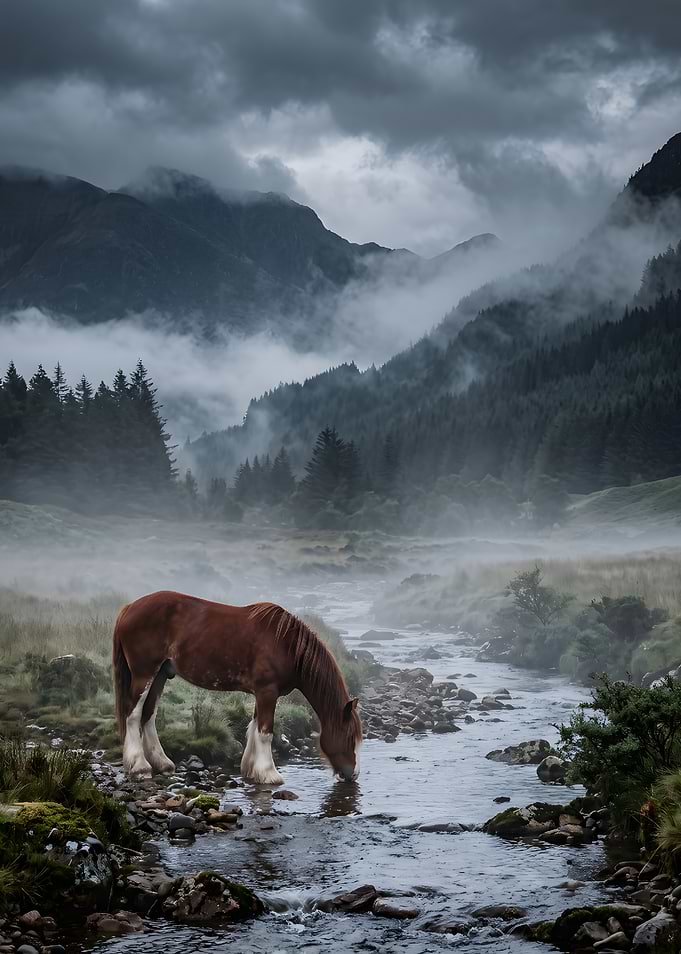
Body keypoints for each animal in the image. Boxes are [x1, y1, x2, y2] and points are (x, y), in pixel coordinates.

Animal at [112, 590, 362, 784]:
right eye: (350, 737)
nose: (353, 775)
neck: (287, 646)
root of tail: (128, 608)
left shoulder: (262, 693)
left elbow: (253, 728)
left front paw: (252, 771)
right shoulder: (267, 692)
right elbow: (265, 733)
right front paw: (270, 774)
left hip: (161, 675)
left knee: (148, 714)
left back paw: (162, 763)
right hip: (144, 674)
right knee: (133, 714)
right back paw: (140, 767)